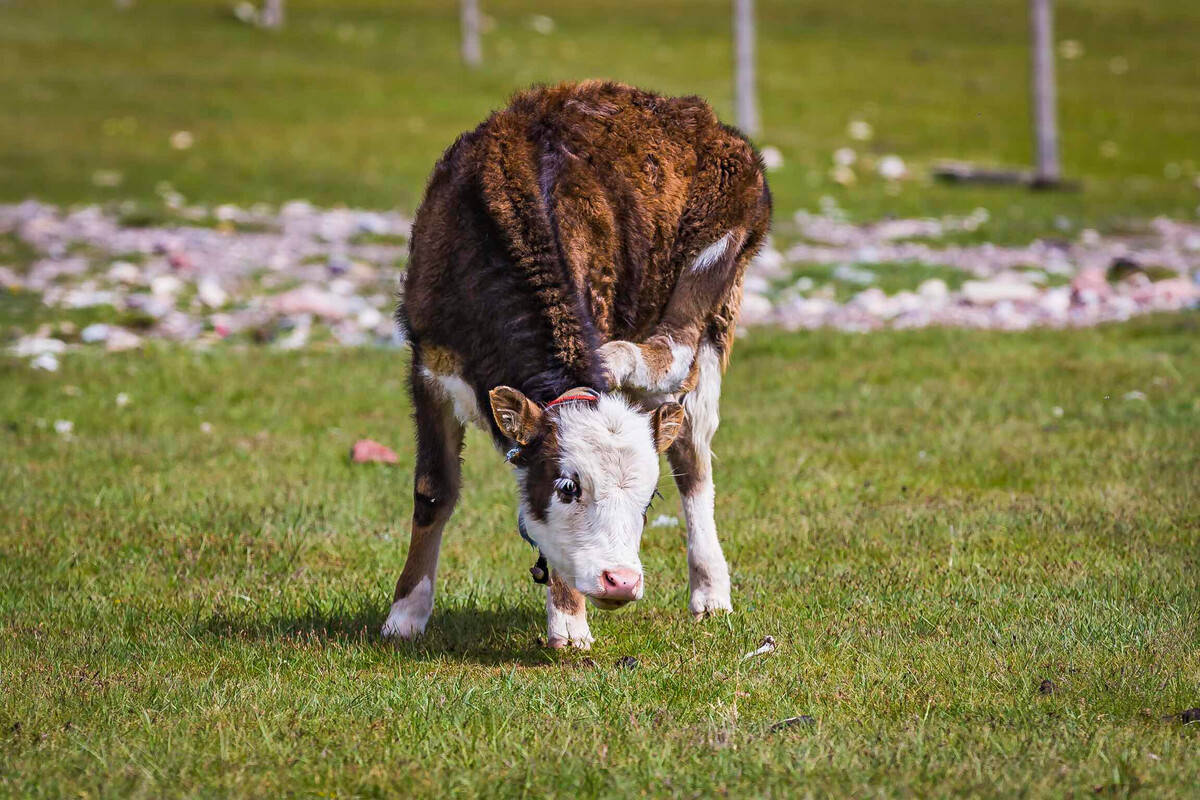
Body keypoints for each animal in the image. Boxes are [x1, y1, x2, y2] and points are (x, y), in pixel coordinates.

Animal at [384, 81, 768, 647]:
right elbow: (433, 491)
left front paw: (568, 622)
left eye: (647, 501)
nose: (622, 580)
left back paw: (710, 591)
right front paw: (405, 615)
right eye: (568, 487)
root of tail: (707, 123)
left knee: (691, 447)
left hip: (718, 288)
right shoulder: (429, 368)